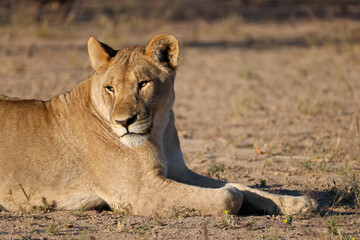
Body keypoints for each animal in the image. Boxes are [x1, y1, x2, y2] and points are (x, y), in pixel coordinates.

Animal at [0, 33, 316, 216]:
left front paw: (297, 203)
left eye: (143, 84)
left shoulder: (178, 171)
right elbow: (230, 195)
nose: (124, 122)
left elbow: (242, 185)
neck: (159, 129)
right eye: (110, 88)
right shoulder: (139, 193)